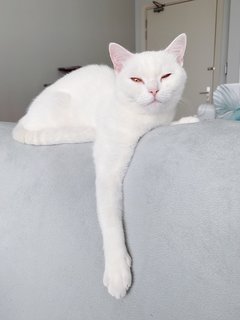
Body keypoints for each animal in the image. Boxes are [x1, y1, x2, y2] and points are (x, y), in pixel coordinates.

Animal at [13, 33, 190, 298]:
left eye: (166, 76)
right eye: (136, 79)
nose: (153, 90)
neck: (144, 122)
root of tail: (23, 119)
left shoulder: (159, 122)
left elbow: (167, 124)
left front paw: (188, 120)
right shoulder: (108, 173)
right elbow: (111, 222)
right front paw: (118, 271)